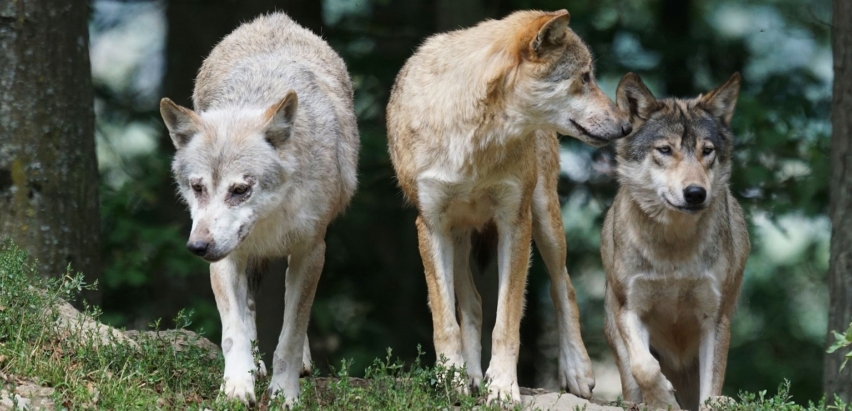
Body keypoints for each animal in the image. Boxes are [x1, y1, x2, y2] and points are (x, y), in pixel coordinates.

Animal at [160, 11, 360, 408]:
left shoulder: (311, 251)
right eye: (198, 188)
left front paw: (285, 393)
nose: (197, 247)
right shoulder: (226, 258)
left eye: (240, 190)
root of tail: (273, 18)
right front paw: (237, 386)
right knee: (249, 309)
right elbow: (234, 331)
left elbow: (291, 333)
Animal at [386, 8, 632, 402]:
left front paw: (501, 387)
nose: (626, 126)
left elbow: (507, 320)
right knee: (472, 303)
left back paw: (576, 371)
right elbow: (445, 320)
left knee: (564, 286)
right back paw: (470, 377)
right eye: (584, 77)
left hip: (545, 220)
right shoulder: (431, 225)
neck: (476, 138)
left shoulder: (514, 222)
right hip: (458, 235)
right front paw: (452, 380)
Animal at [604, 72, 748, 410]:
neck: (673, 248)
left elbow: (711, 390)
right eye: (665, 150)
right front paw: (663, 400)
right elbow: (644, 367)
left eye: (707, 150)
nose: (695, 193)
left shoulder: (715, 318)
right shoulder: (629, 308)